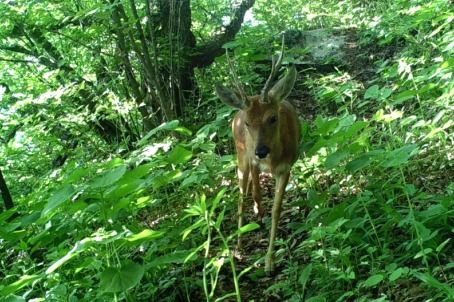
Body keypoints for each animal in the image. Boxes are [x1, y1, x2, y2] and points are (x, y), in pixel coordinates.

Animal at [215, 50, 300, 276]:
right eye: (247, 123)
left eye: (273, 118)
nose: (261, 150)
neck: (272, 160)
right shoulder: (252, 161)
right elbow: (256, 194)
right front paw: (259, 213)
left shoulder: (286, 168)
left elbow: (277, 209)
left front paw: (270, 262)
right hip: (241, 156)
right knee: (242, 195)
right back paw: (238, 244)